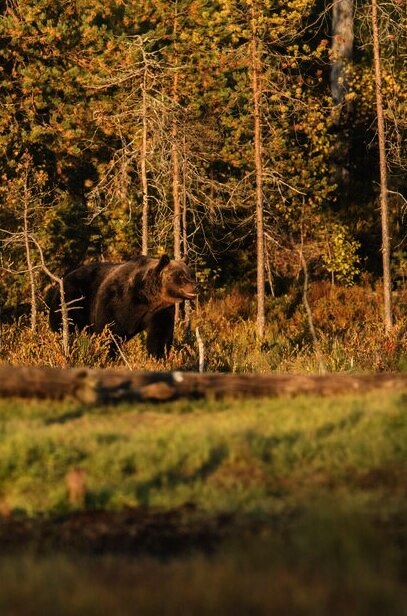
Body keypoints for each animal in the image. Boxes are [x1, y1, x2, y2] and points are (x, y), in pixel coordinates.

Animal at [49, 254, 198, 358]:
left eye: (190, 274)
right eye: (180, 276)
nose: (195, 287)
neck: (147, 298)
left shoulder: (160, 310)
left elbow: (160, 335)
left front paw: (158, 357)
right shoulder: (116, 301)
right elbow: (109, 331)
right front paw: (109, 355)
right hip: (72, 300)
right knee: (65, 326)